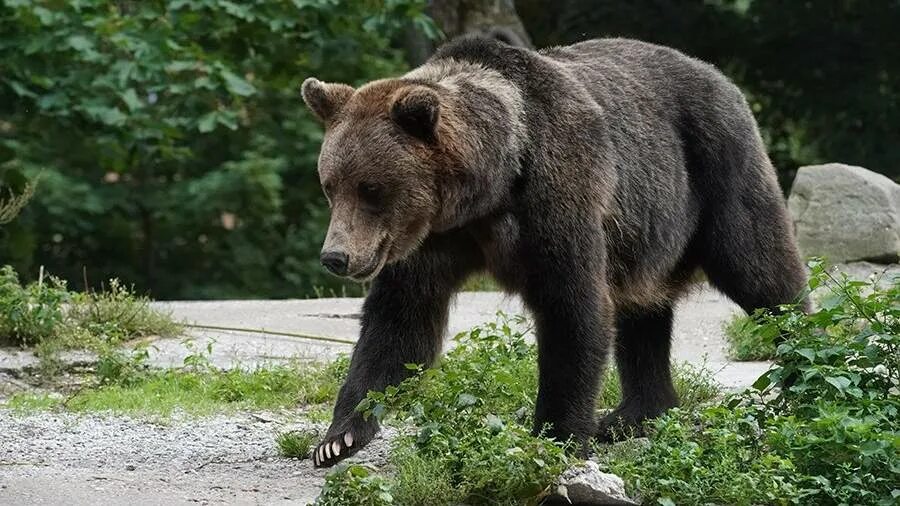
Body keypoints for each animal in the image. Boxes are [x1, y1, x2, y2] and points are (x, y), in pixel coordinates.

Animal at [298, 34, 804, 466]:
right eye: (330, 186)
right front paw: (337, 438)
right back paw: (631, 415)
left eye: (371, 189)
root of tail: (721, 76)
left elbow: (572, 308)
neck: (489, 189)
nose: (335, 257)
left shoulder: (556, 194)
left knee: (762, 273)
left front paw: (556, 435)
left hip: (716, 166)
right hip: (644, 235)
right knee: (642, 314)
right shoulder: (433, 239)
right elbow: (400, 321)